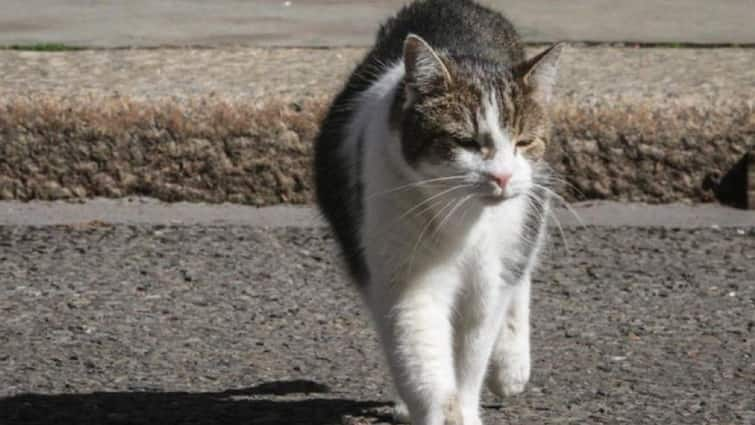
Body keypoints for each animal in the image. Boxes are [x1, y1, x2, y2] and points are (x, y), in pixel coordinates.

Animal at [312, 1, 560, 422]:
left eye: (524, 142)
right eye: (466, 142)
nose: (503, 176)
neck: (462, 220)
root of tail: (450, 5)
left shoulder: (485, 286)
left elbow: (470, 358)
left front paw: (470, 401)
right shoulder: (406, 279)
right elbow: (422, 361)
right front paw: (436, 408)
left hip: (529, 206)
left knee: (521, 268)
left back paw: (511, 367)